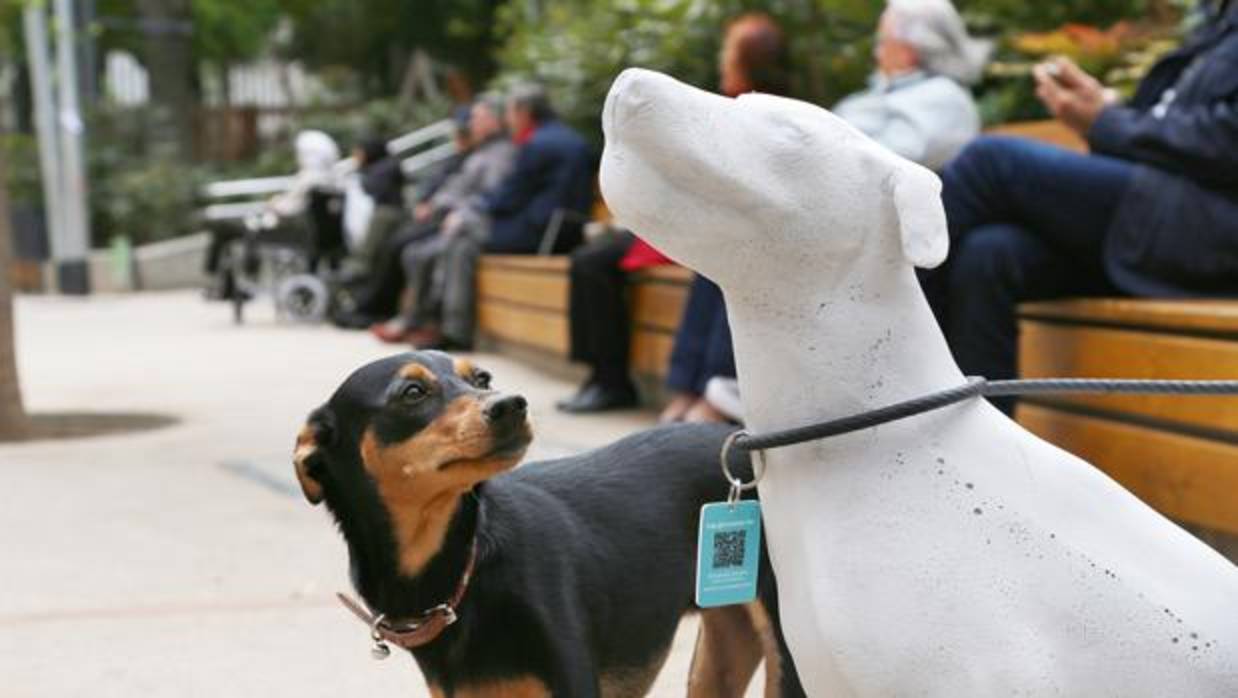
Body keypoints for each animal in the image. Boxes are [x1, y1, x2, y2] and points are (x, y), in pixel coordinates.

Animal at [295, 353, 807, 698]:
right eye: (412, 393)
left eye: (482, 378)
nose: (511, 404)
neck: (469, 570)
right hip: (719, 655)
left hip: (789, 658)